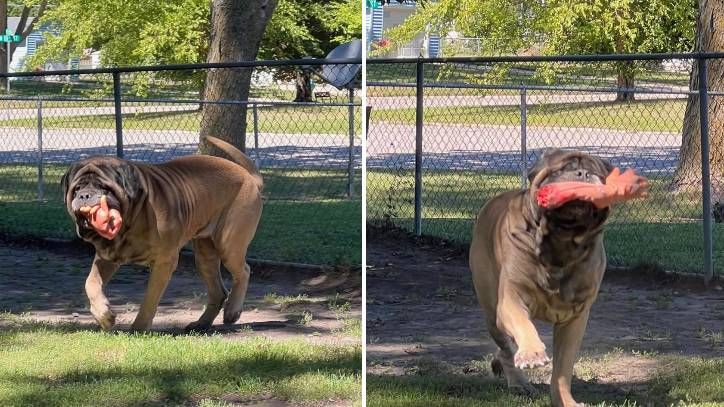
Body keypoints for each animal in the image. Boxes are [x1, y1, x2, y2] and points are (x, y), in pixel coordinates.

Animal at [60, 135, 262, 334]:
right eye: (76, 189)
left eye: (105, 188)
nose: (85, 196)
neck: (132, 217)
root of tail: (249, 177)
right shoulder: (106, 258)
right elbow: (91, 283)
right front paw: (104, 315)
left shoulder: (164, 261)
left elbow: (150, 298)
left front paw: (139, 327)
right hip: (205, 255)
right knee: (218, 291)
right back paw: (201, 323)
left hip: (229, 243)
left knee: (243, 271)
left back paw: (232, 311)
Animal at [472, 151, 648, 407]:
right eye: (561, 169)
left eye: (595, 172)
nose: (582, 173)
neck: (561, 242)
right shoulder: (511, 300)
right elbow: (523, 325)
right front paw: (532, 353)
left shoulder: (575, 318)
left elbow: (562, 370)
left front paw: (565, 401)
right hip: (491, 310)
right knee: (506, 347)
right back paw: (518, 382)